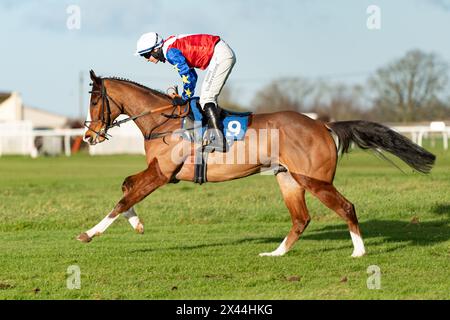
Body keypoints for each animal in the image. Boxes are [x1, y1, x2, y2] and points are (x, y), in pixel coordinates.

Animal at [79, 70, 434, 258]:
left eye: (95, 100)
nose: (89, 136)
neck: (164, 121)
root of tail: (323, 125)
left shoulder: (162, 173)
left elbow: (124, 197)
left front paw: (89, 233)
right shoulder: (160, 172)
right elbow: (126, 186)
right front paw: (137, 224)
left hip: (314, 179)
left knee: (346, 206)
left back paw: (359, 251)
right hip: (288, 179)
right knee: (301, 219)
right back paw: (276, 253)